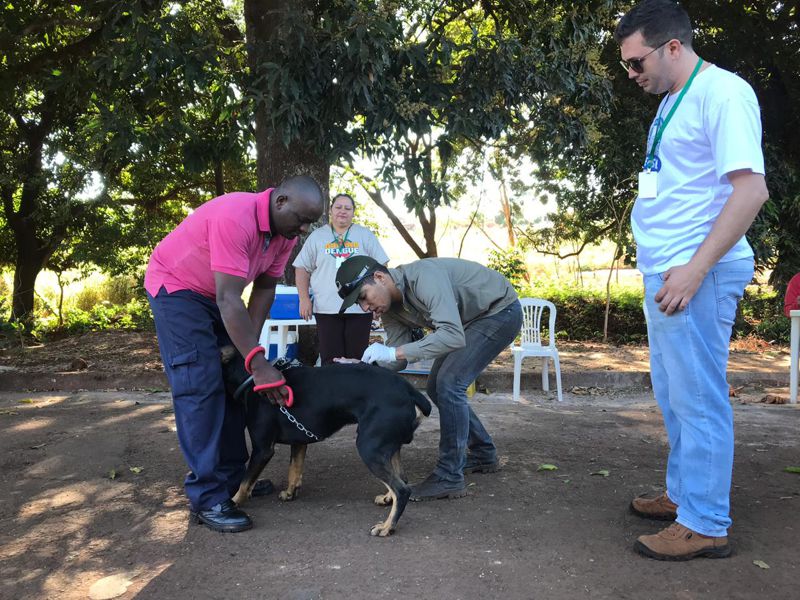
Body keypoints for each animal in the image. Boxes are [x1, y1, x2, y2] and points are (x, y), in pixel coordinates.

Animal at [219, 350, 432, 536]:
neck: (249, 378)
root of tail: (410, 391)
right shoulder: (299, 441)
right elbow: (294, 470)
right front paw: (289, 493)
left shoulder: (262, 449)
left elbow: (245, 482)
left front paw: (233, 502)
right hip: (387, 446)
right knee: (401, 479)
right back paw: (388, 498)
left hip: (369, 447)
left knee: (402, 490)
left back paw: (387, 527)